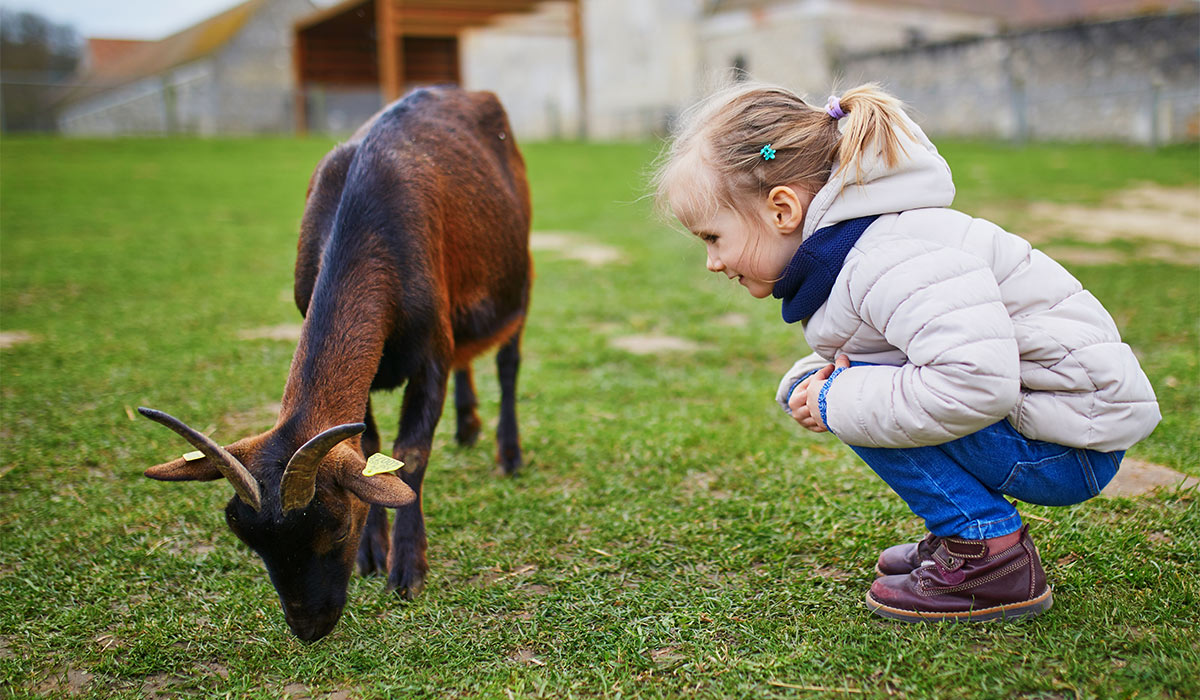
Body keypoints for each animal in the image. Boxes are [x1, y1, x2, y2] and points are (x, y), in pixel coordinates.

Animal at [139, 86, 532, 642]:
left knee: (508, 362)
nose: (310, 626)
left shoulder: (430, 352)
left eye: (338, 525)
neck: (365, 218)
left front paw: (406, 570)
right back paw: (467, 426)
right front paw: (373, 553)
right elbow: (368, 445)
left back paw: (508, 453)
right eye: (249, 541)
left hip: (518, 281)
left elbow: (409, 454)